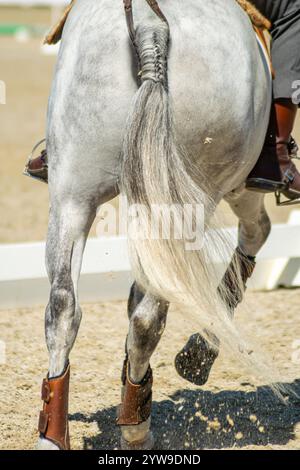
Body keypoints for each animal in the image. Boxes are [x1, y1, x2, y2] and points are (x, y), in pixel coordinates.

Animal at [35, 0, 274, 450]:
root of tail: (151, 25)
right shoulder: (242, 186)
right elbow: (258, 232)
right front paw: (200, 353)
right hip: (190, 201)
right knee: (148, 316)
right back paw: (136, 426)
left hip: (72, 195)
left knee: (63, 307)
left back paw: (53, 434)